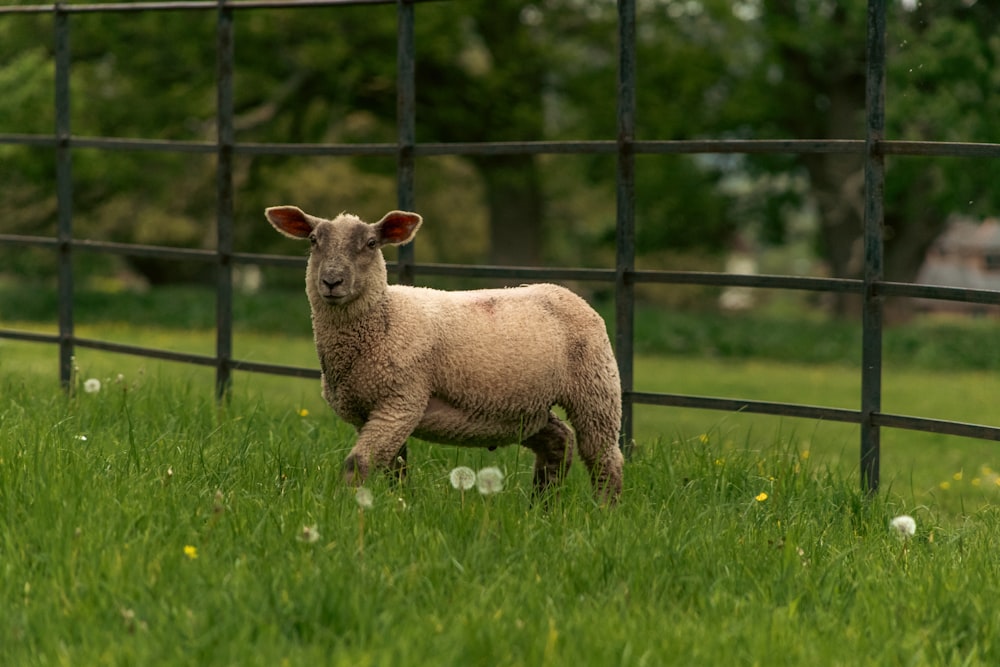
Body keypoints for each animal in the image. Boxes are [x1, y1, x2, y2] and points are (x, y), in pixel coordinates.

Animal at [266, 206, 624, 504]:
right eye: (314, 240)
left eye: (370, 243)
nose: (331, 281)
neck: (383, 319)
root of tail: (565, 292)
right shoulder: (372, 411)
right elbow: (396, 468)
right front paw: (399, 504)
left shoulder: (401, 400)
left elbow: (359, 464)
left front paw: (346, 509)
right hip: (524, 408)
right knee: (559, 442)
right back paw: (541, 508)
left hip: (596, 388)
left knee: (604, 456)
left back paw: (605, 511)